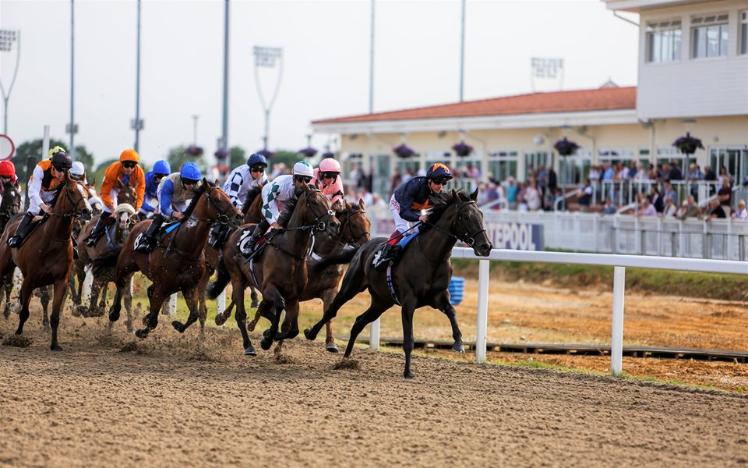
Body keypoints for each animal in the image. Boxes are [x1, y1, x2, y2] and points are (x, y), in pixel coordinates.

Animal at [0, 176, 92, 352]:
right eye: (71, 191)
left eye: (87, 191)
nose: (87, 211)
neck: (53, 239)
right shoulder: (30, 279)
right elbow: (25, 311)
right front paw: (18, 335)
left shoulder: (60, 281)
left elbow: (55, 315)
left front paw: (55, 343)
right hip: (5, 264)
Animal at [106, 177, 237, 338]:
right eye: (217, 199)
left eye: (228, 196)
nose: (239, 215)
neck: (186, 250)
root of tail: (136, 224)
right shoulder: (164, 285)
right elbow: (154, 319)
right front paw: (142, 330)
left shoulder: (189, 286)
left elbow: (194, 315)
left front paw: (177, 325)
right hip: (126, 264)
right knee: (121, 283)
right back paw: (114, 312)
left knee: (147, 289)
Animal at [215, 199, 370, 352]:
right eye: (355, 224)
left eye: (369, 223)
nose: (367, 245)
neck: (323, 257)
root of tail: (237, 230)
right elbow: (285, 321)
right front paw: (273, 342)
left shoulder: (328, 290)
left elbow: (328, 314)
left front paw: (331, 343)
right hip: (241, 276)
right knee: (239, 298)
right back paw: (225, 318)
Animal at [304, 188, 490, 378]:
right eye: (466, 216)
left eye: (481, 214)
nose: (486, 246)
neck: (431, 257)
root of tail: (362, 248)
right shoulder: (409, 302)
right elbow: (409, 340)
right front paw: (408, 371)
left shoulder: (440, 296)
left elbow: (452, 312)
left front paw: (459, 343)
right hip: (351, 287)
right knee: (332, 310)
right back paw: (311, 333)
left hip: (382, 301)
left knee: (359, 322)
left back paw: (346, 359)